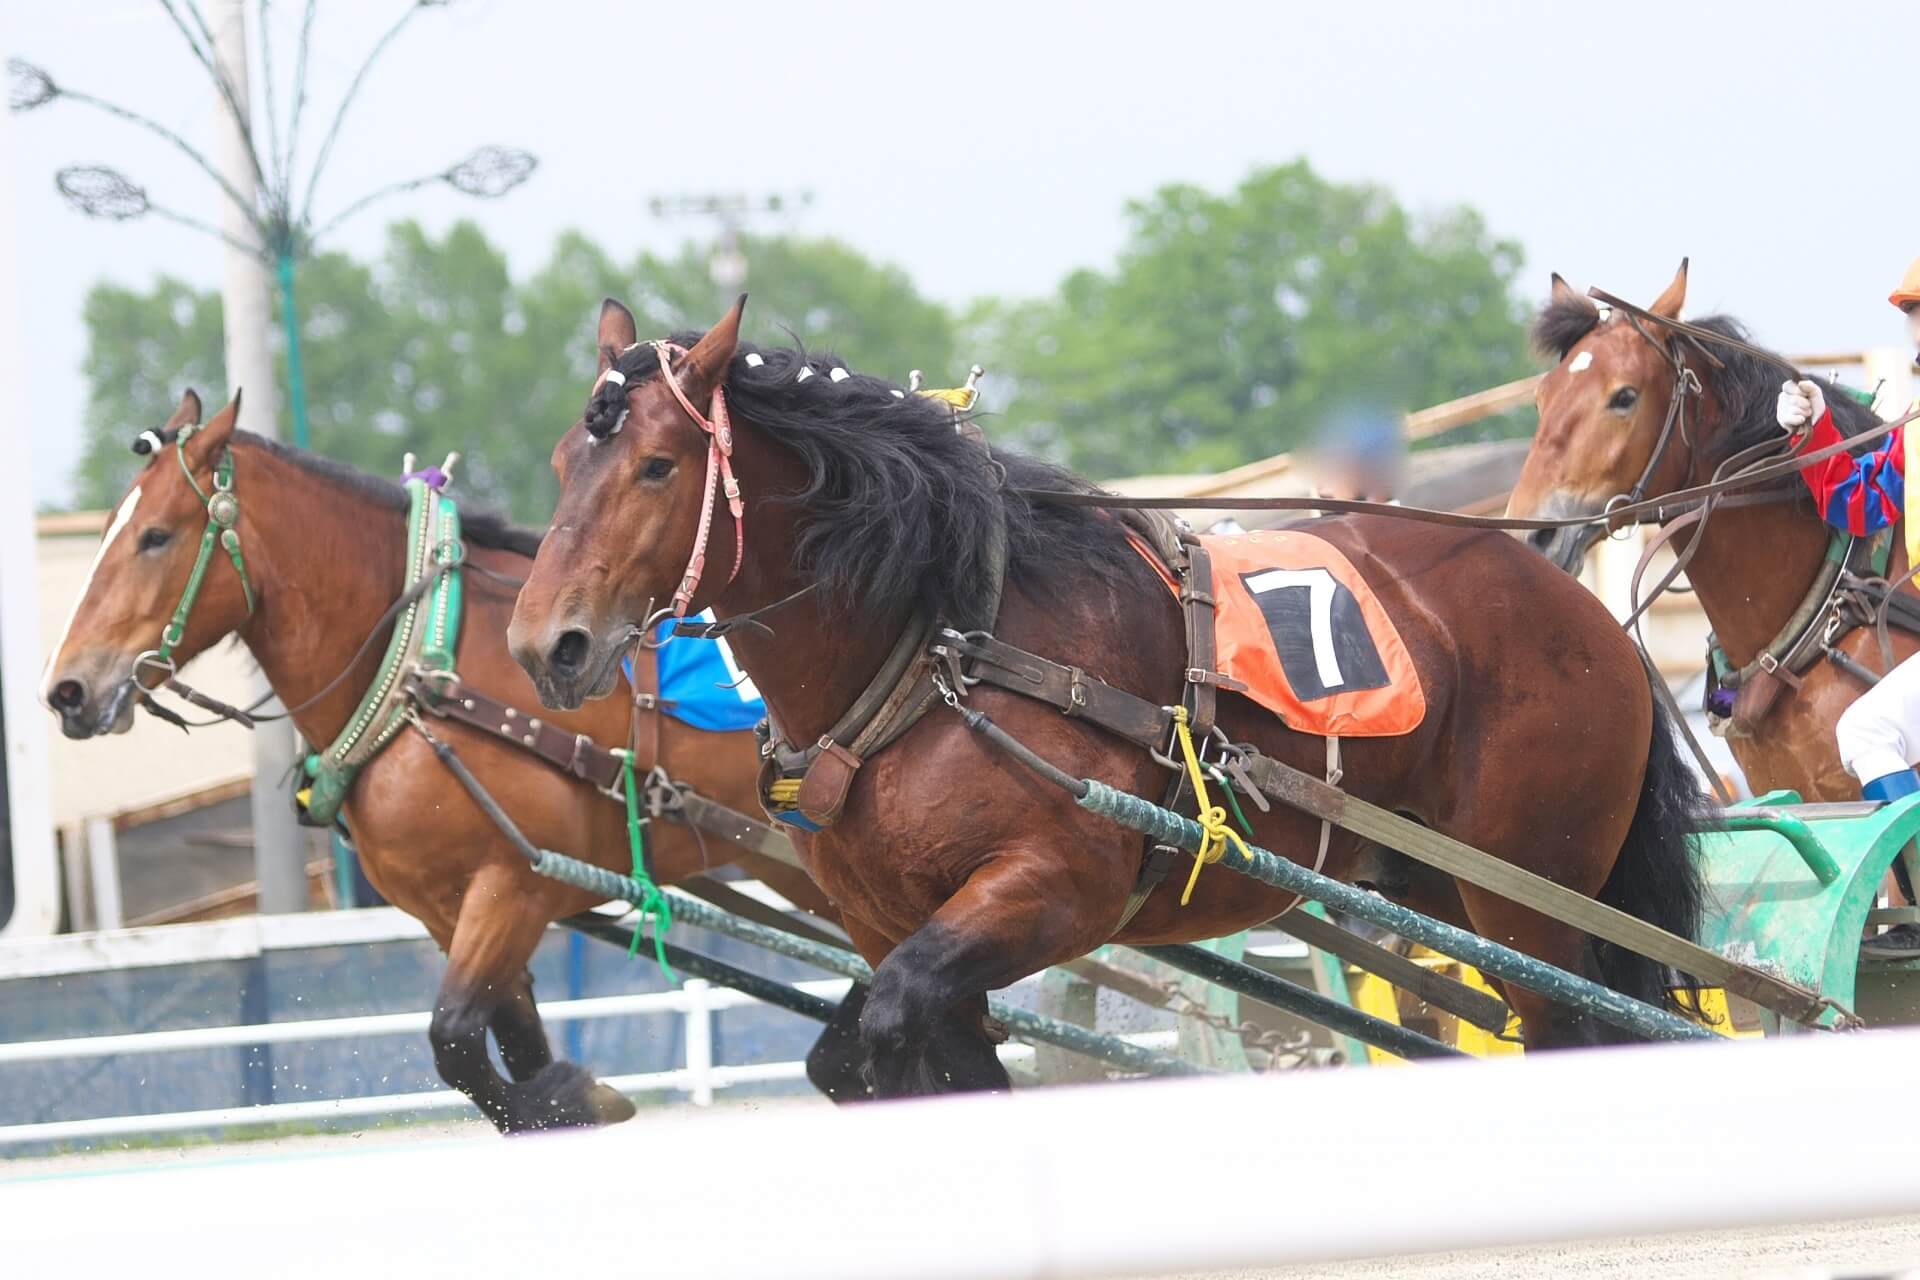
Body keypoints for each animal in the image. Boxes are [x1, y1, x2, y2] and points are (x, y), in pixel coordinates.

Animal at [506, 297, 1712, 1090]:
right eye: (565, 461)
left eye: (658, 465)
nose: (544, 641)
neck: (943, 648)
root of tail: (1578, 608)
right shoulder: (896, 927)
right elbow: (883, 1055)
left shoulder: (1050, 892)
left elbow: (889, 1031)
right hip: (1441, 888)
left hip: (1532, 897)